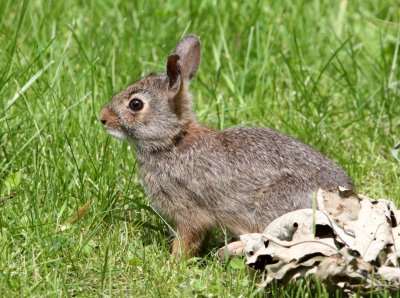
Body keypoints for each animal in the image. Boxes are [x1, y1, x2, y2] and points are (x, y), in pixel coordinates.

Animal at [99, 35, 354, 258]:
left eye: (135, 104)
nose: (102, 118)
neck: (173, 140)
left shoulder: (189, 207)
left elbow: (188, 236)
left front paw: (173, 262)